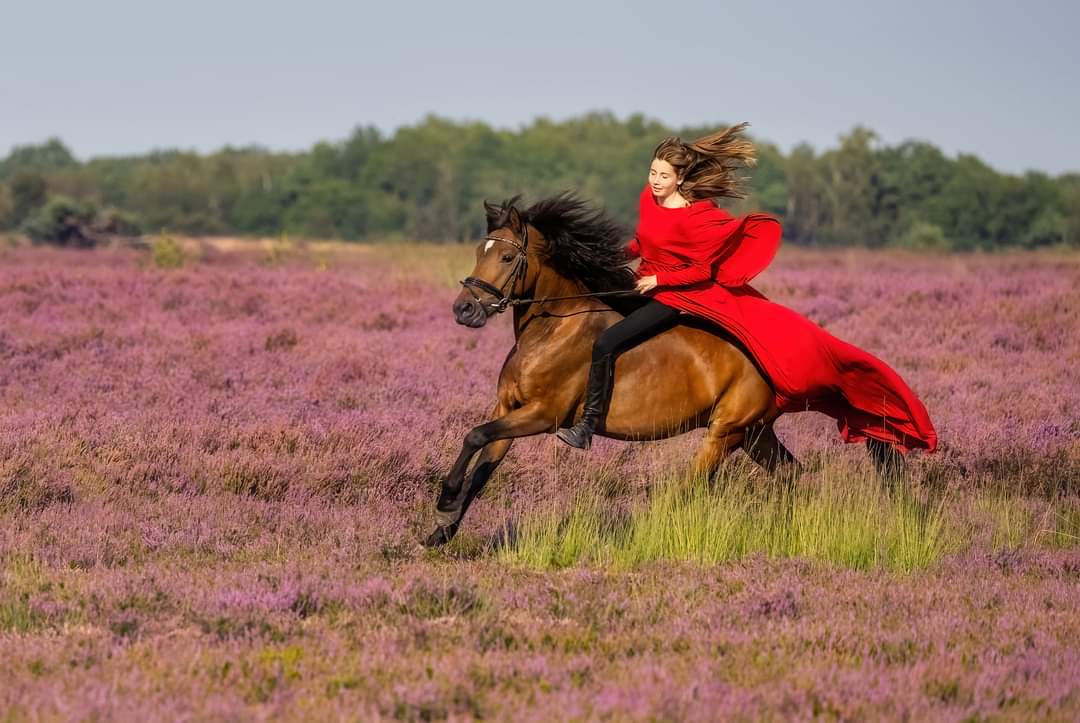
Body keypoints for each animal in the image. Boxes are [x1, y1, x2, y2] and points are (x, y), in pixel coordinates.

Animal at [423, 193, 900, 547]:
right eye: (479, 250)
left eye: (506, 258)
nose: (464, 310)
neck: (552, 329)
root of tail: (770, 365)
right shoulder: (509, 408)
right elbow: (483, 466)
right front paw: (441, 531)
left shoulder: (544, 414)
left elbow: (475, 436)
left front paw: (443, 504)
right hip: (755, 433)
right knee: (792, 477)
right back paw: (784, 531)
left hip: (726, 432)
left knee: (692, 488)